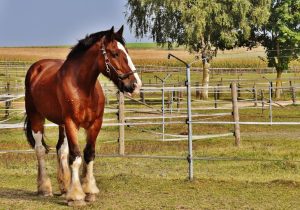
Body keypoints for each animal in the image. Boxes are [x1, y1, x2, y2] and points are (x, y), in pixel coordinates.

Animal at [24, 25, 142, 205]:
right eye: (115, 53)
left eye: (127, 52)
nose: (135, 85)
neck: (83, 88)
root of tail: (36, 68)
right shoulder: (71, 123)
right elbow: (76, 156)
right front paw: (76, 196)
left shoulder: (94, 124)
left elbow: (88, 154)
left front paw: (89, 191)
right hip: (37, 117)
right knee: (40, 150)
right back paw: (44, 188)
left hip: (61, 125)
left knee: (61, 149)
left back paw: (64, 187)